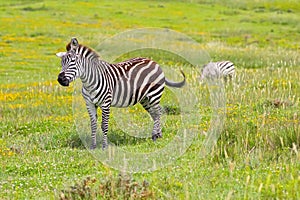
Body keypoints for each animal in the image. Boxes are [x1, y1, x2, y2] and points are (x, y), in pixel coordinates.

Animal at [56, 38, 185, 150]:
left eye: (73, 62)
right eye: (62, 63)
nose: (60, 79)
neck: (89, 82)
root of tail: (154, 62)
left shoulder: (106, 103)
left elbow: (104, 125)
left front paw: (104, 146)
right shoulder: (89, 104)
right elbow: (93, 125)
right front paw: (93, 146)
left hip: (154, 95)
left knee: (158, 113)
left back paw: (154, 137)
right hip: (145, 99)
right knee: (155, 114)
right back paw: (158, 135)